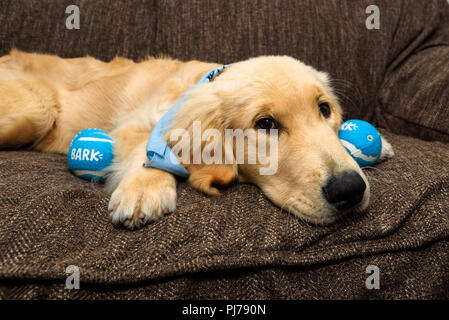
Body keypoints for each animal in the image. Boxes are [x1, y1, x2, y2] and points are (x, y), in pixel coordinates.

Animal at [0, 49, 392, 228]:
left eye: (324, 109)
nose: (350, 190)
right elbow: (146, 147)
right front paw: (145, 187)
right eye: (265, 124)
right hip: (36, 111)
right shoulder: (132, 125)